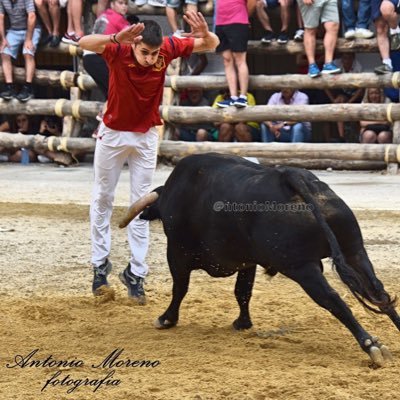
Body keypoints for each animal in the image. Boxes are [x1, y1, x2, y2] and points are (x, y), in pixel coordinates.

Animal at [119, 153, 400, 366]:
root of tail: (293, 177)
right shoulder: (248, 261)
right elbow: (242, 292)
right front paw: (243, 323)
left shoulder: (177, 252)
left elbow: (180, 288)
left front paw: (167, 318)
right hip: (355, 252)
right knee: (379, 292)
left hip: (301, 267)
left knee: (332, 299)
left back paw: (370, 345)